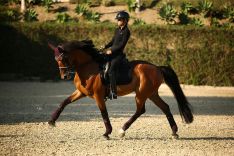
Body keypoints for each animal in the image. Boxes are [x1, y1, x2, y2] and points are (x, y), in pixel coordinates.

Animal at [48, 40, 194, 139]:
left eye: (63, 58)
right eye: (56, 59)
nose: (64, 76)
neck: (89, 67)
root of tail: (157, 68)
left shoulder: (98, 95)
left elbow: (104, 113)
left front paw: (107, 133)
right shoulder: (81, 92)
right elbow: (64, 102)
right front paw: (51, 121)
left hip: (141, 94)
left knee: (141, 110)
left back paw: (122, 130)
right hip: (151, 93)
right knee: (165, 107)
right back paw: (174, 132)